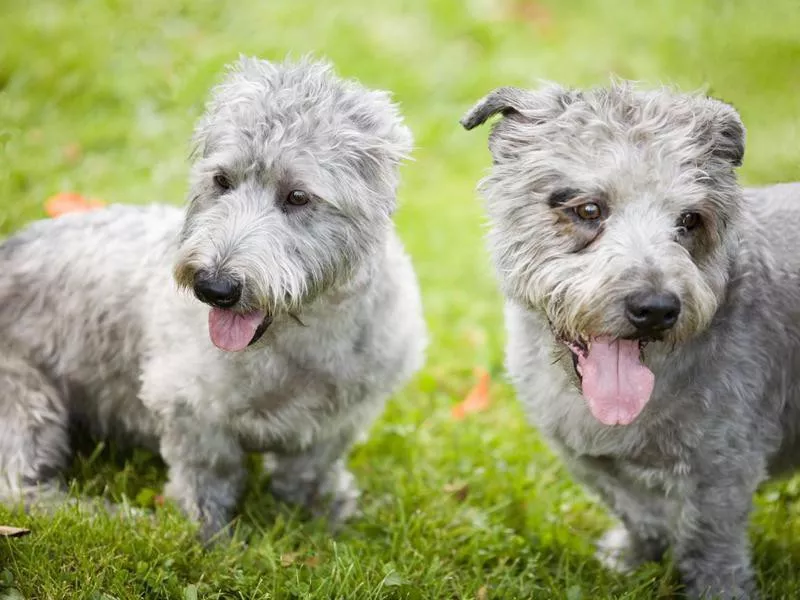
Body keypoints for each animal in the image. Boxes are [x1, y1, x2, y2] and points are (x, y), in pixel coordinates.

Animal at [0, 58, 428, 540]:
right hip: (27, 399)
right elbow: (210, 473)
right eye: (222, 180)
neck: (301, 338)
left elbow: (311, 467)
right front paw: (208, 536)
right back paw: (114, 516)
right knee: (21, 489)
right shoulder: (188, 407)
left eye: (298, 196)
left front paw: (325, 513)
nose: (214, 288)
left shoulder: (344, 415)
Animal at [460, 81, 800, 600]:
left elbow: (710, 543)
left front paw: (719, 589)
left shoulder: (724, 471)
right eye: (588, 209)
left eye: (690, 219)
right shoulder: (591, 459)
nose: (656, 308)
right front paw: (630, 561)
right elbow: (639, 514)